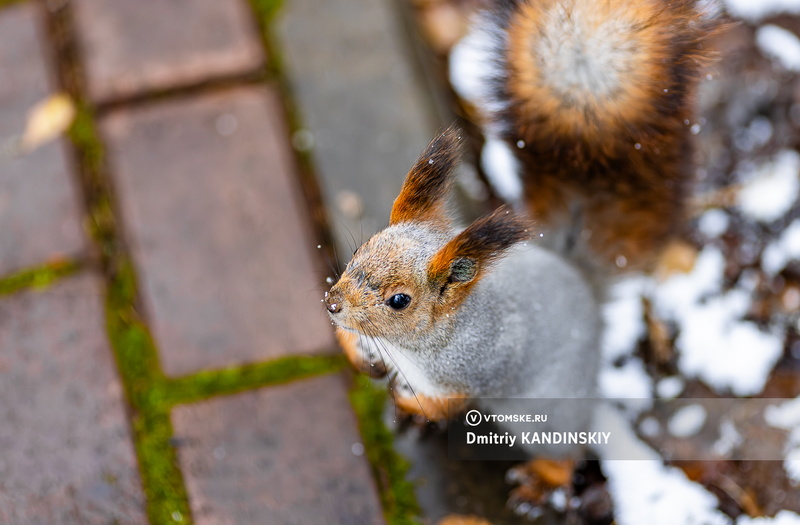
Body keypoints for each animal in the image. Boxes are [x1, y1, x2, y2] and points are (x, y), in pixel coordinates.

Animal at [324, 0, 720, 430]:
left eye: (399, 301)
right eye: (360, 249)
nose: (332, 304)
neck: (413, 344)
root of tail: (582, 283)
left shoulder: (475, 372)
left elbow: (443, 404)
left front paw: (407, 405)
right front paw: (360, 356)